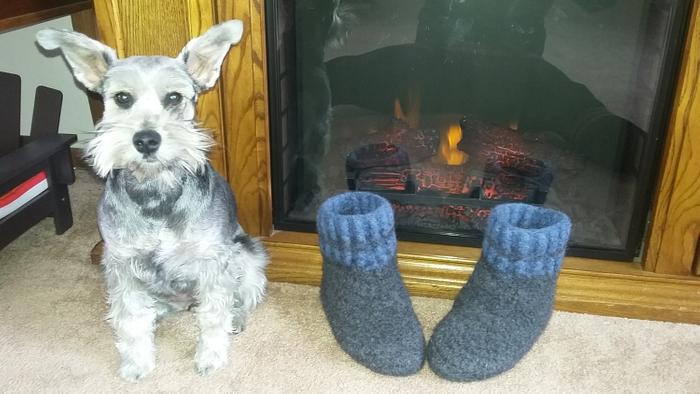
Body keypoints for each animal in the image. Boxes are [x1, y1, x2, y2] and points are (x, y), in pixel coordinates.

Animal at [37, 20, 270, 382]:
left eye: (174, 97)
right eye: (122, 98)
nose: (146, 140)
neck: (156, 194)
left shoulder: (212, 263)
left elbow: (214, 316)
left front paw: (210, 357)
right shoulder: (123, 265)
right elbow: (132, 320)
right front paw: (136, 363)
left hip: (246, 254)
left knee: (243, 297)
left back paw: (237, 318)